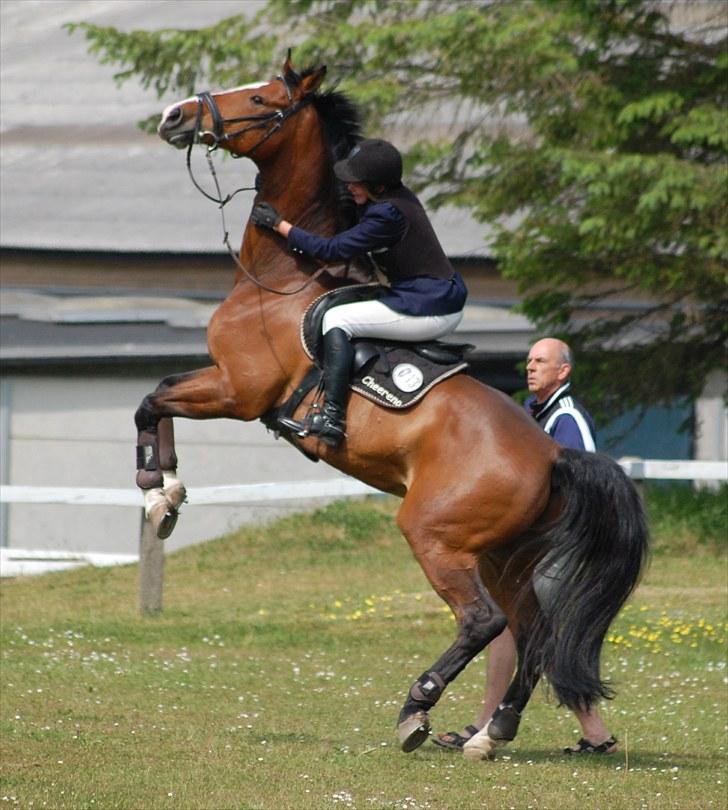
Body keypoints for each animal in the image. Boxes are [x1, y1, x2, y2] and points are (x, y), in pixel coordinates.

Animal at [136, 55, 648, 756]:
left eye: (262, 97)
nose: (174, 116)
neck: (285, 277)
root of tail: (552, 454)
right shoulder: (225, 383)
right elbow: (156, 395)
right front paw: (165, 495)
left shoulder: (239, 392)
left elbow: (152, 400)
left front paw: (156, 488)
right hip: (504, 555)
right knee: (532, 630)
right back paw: (490, 734)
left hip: (434, 534)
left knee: (483, 622)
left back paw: (418, 709)